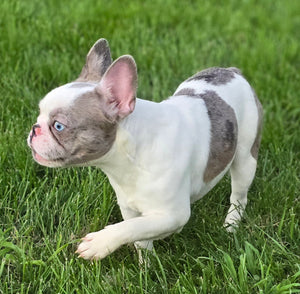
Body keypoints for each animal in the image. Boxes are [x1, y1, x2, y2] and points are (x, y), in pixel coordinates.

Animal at [28, 38, 262, 260]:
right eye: (39, 113)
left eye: (59, 126)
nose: (34, 129)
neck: (131, 157)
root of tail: (233, 72)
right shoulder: (129, 207)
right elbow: (139, 235)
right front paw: (147, 266)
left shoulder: (173, 215)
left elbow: (130, 228)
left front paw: (99, 243)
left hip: (245, 158)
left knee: (239, 196)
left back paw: (231, 225)